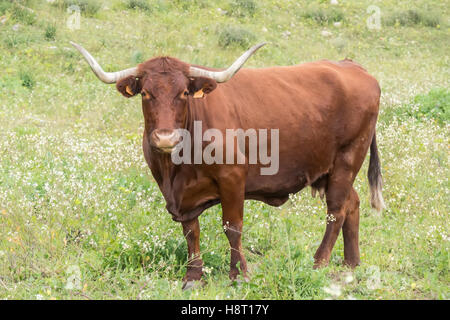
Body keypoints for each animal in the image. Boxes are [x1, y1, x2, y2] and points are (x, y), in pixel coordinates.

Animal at [72, 41, 384, 288]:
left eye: (184, 93)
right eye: (146, 93)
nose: (165, 137)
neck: (178, 167)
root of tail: (353, 67)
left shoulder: (232, 178)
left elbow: (232, 227)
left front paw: (239, 275)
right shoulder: (176, 193)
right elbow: (191, 232)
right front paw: (193, 277)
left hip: (347, 158)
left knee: (336, 211)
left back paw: (319, 263)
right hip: (331, 169)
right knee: (352, 203)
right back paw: (351, 264)